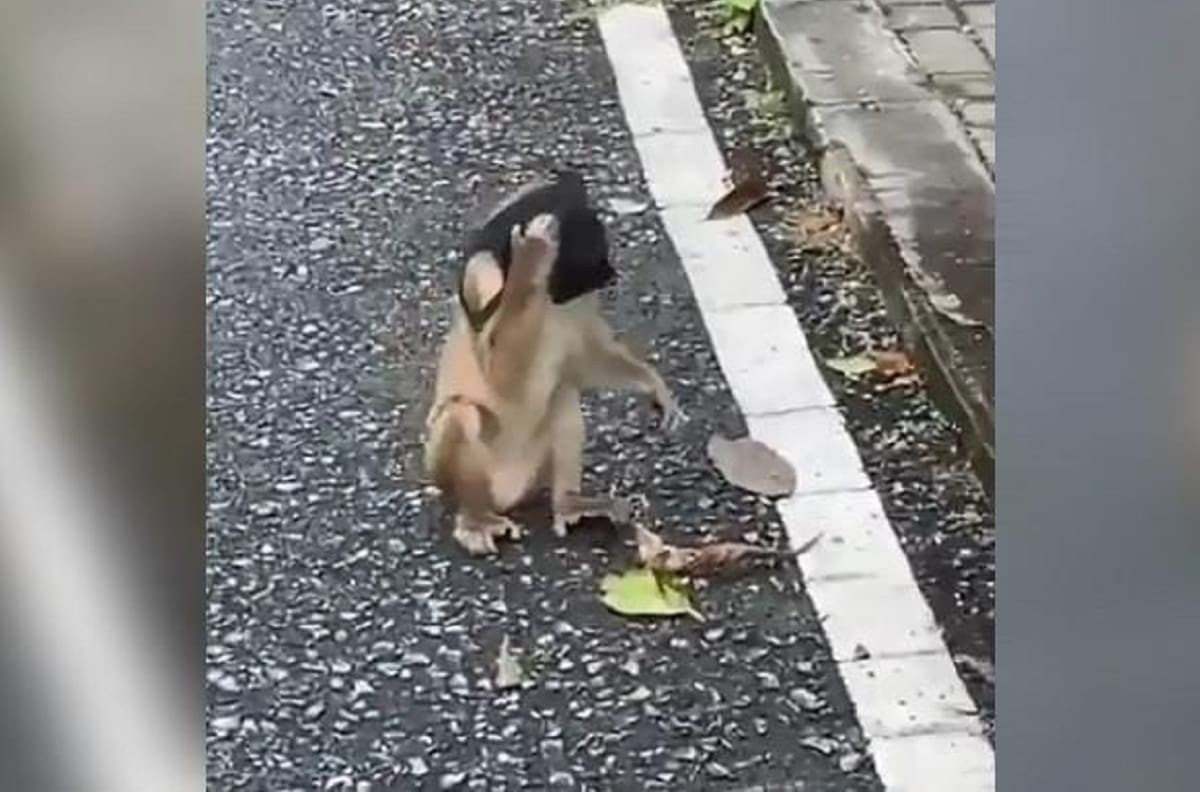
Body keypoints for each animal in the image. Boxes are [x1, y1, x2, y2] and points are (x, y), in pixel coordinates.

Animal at [423, 188, 684, 555]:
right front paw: (530, 261)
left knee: (562, 396)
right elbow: (498, 372)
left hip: (532, 470)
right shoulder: (485, 277)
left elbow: (582, 361)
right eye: (593, 253)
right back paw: (475, 516)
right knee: (462, 412)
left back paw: (568, 503)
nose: (611, 274)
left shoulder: (578, 302)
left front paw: (654, 385)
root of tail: (507, 494)